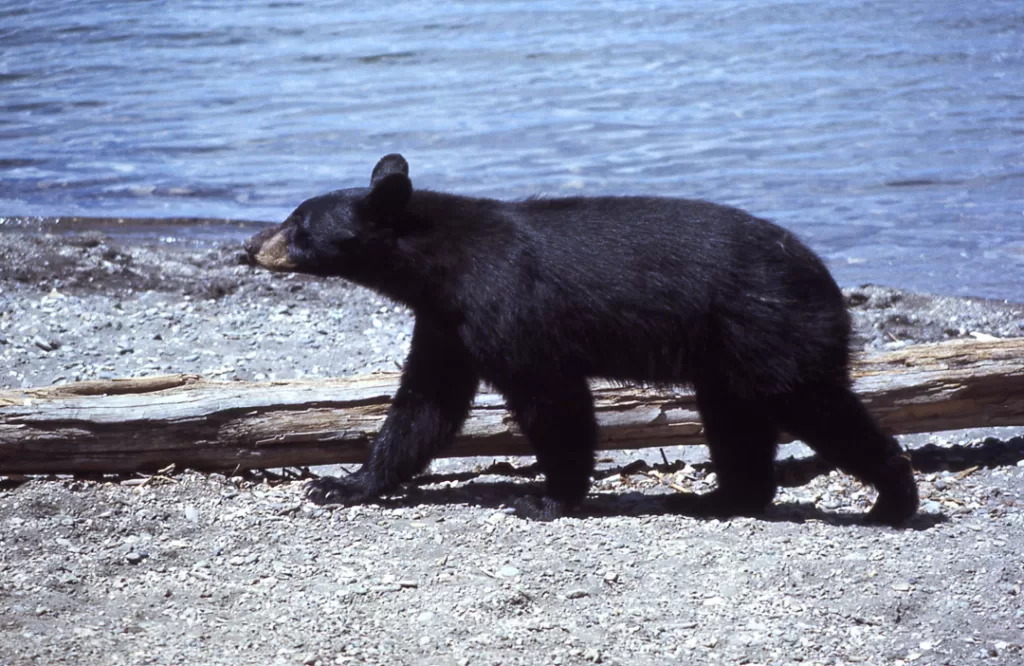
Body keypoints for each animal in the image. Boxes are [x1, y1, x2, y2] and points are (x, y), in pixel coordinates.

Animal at [245, 152, 921, 520]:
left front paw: (548, 498)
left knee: (817, 405)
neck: (443, 267)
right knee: (737, 422)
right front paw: (341, 483)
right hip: (729, 355)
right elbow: (425, 404)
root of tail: (826, 277)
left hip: (771, 329)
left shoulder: (509, 303)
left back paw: (894, 499)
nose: (250, 245)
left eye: (299, 224)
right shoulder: (447, 321)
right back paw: (720, 499)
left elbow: (553, 398)